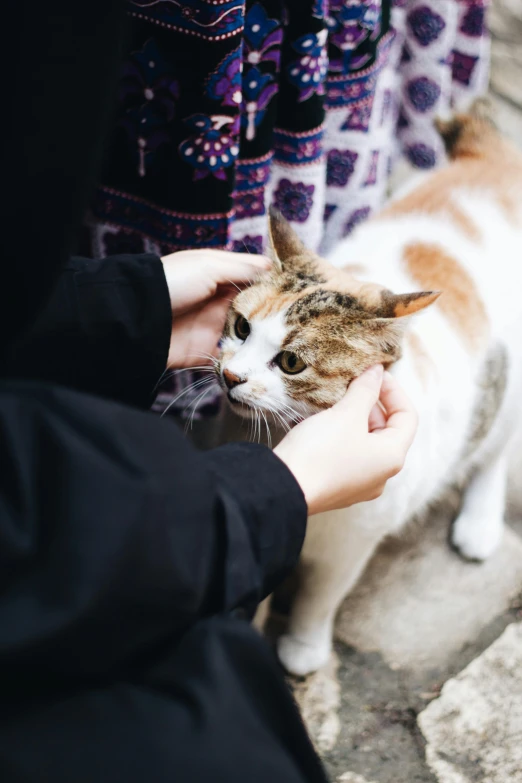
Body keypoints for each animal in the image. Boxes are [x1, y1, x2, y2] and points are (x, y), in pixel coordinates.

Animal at [214, 102, 520, 680]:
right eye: (241, 328)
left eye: (291, 362)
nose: (231, 377)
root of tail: (494, 164)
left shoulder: (352, 541)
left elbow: (322, 594)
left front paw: (304, 647)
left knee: (498, 445)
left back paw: (480, 521)